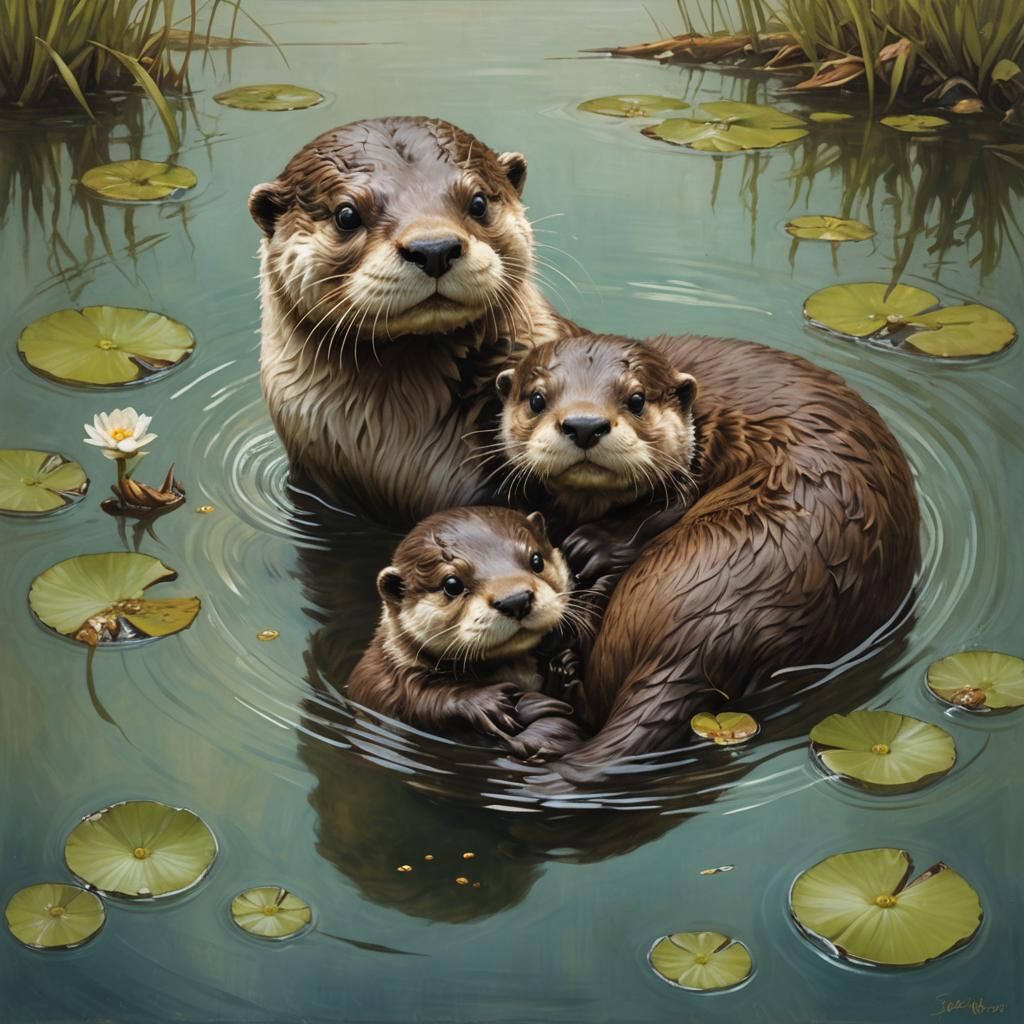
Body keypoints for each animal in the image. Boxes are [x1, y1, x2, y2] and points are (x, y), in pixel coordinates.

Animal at [346, 506, 585, 758]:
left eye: (536, 560)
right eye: (452, 584)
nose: (516, 599)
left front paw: (562, 667)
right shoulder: (379, 680)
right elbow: (416, 696)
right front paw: (488, 702)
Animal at [499, 333, 920, 771]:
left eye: (636, 399)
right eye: (537, 399)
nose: (584, 424)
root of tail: (712, 631)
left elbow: (668, 506)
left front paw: (593, 543)